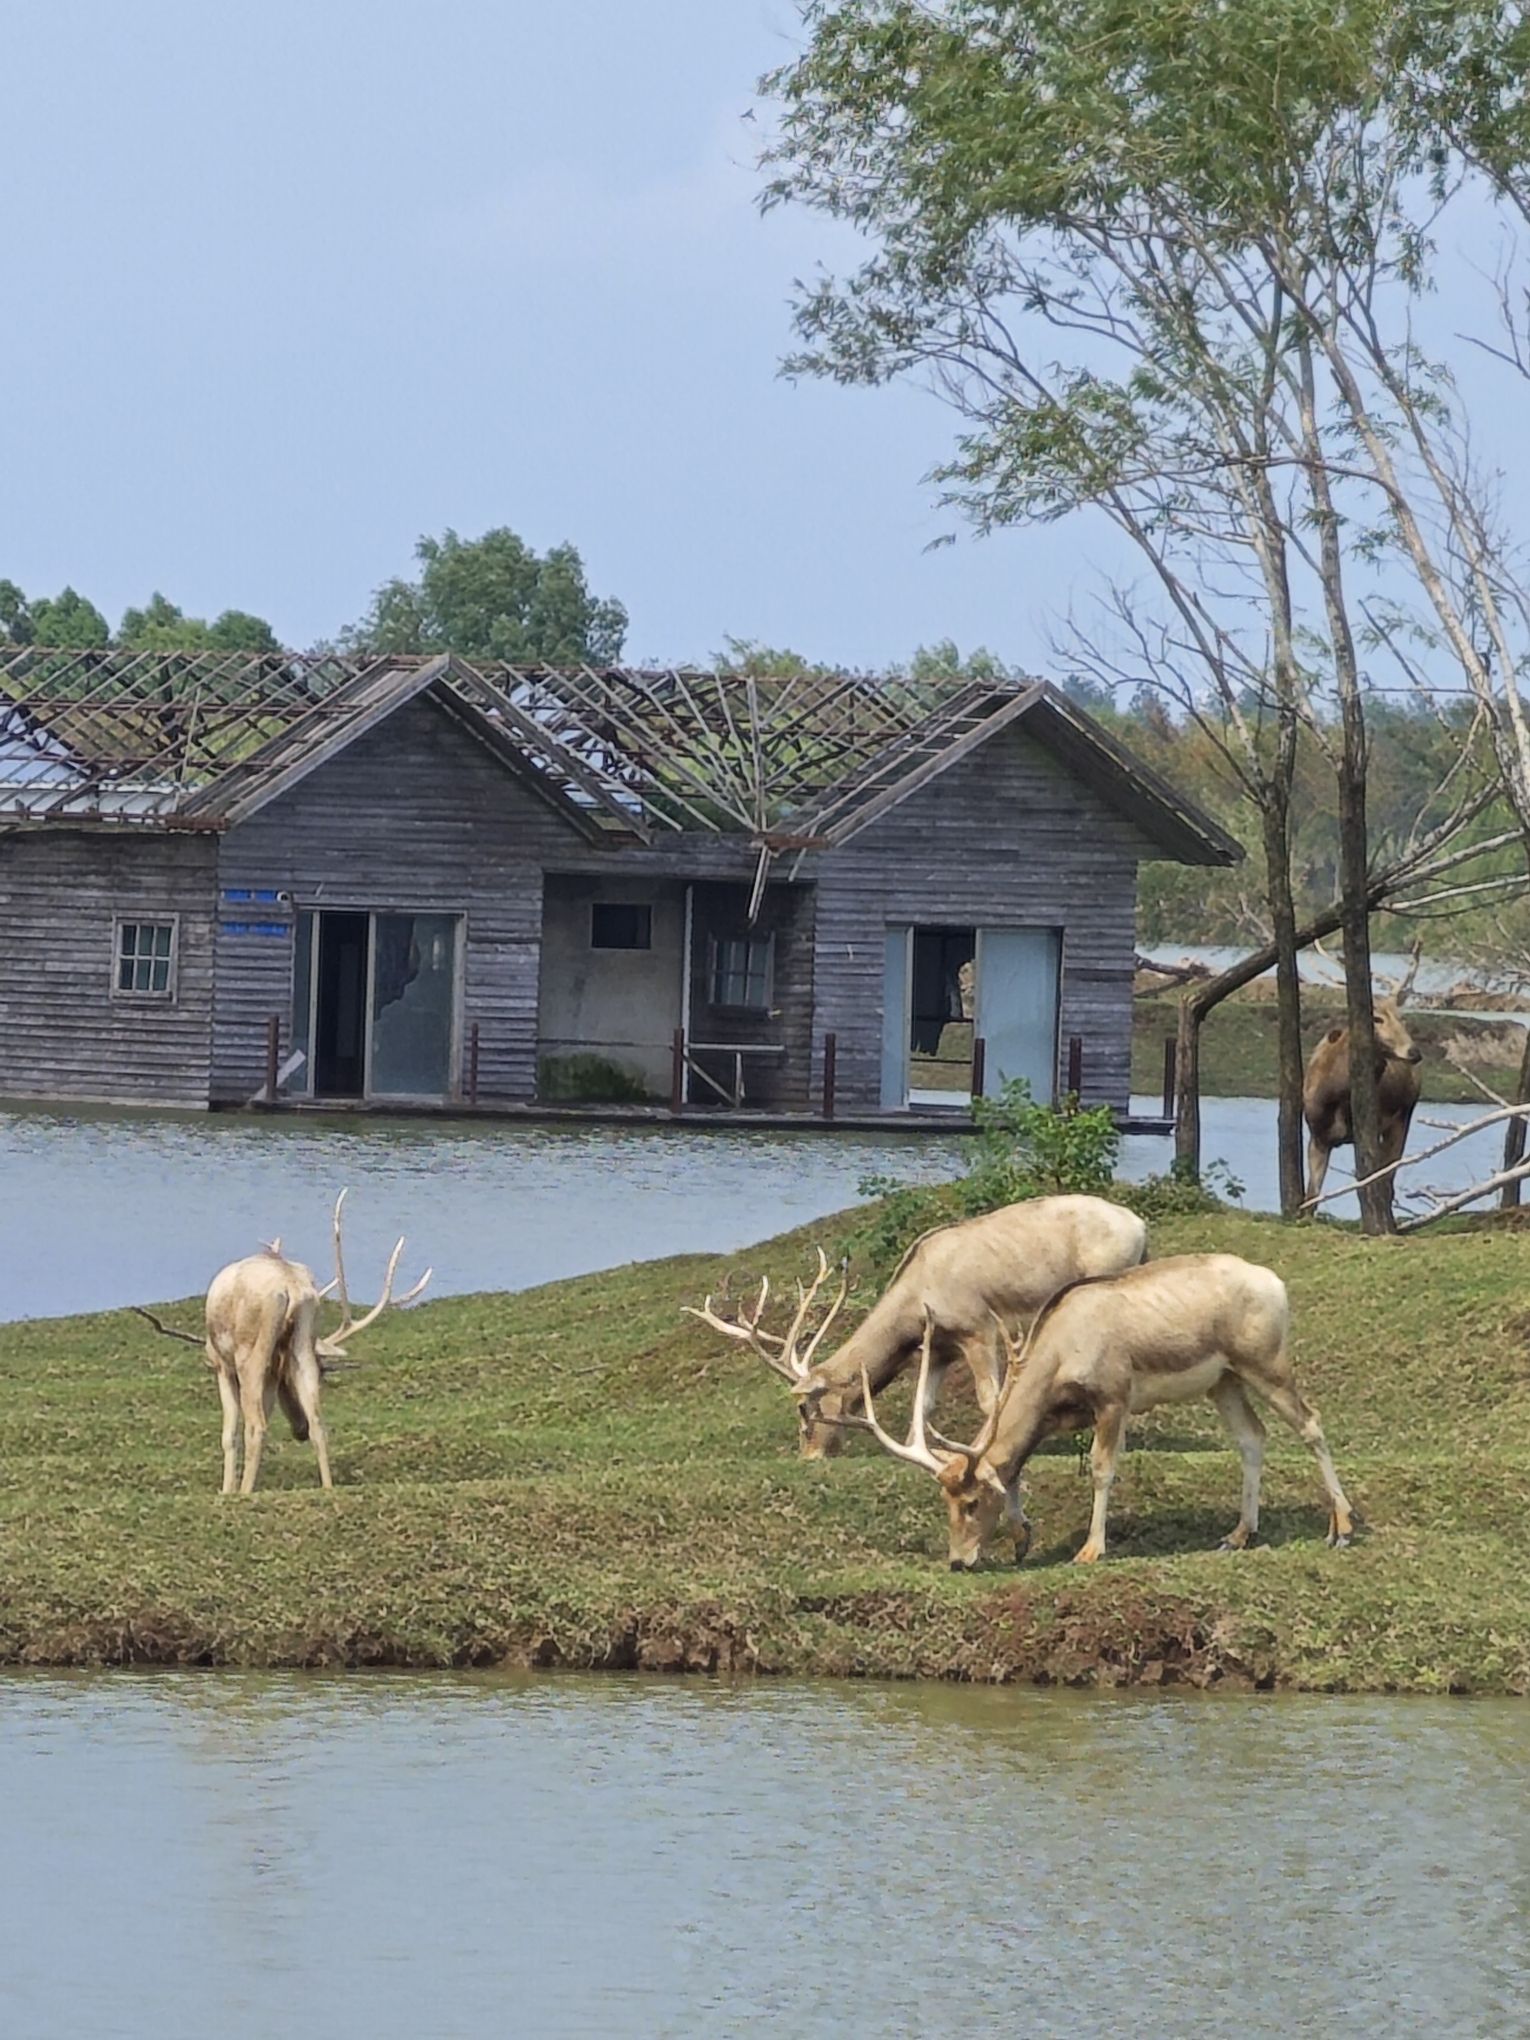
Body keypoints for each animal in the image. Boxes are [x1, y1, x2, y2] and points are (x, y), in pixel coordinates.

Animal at [134, 1190, 430, 1494]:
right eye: (325, 1373)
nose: (297, 1430)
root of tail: (290, 1287)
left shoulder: (222, 1366)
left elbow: (229, 1435)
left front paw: (227, 1491)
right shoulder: (274, 1373)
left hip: (250, 1354)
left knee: (256, 1426)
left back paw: (245, 1491)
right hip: (302, 1343)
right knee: (318, 1423)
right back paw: (327, 1486)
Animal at [686, 1195, 1147, 1470]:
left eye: (805, 1410)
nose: (810, 1455)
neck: (917, 1302)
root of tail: (1140, 1226)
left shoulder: (977, 1327)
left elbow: (990, 1397)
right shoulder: (939, 1345)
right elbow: (923, 1401)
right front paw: (914, 1447)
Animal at [851, 1254, 1353, 1571]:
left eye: (972, 1502)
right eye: (946, 1502)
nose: (958, 1561)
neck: (1058, 1355)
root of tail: (1277, 1284)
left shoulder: (1114, 1397)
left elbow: (1101, 1467)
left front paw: (1091, 1549)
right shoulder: (1058, 1417)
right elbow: (1014, 1469)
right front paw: (1022, 1538)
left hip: (1265, 1361)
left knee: (1311, 1421)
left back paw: (1343, 1526)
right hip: (1223, 1380)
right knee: (1252, 1436)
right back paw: (1238, 1534)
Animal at [1303, 941, 1425, 1203]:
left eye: (1402, 1017)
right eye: (1376, 1018)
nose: (1414, 1052)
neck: (1333, 1095)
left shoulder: (1369, 1130)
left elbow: (1369, 1187)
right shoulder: (1317, 1137)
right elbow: (1310, 1198)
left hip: (1403, 1116)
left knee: (1388, 1181)